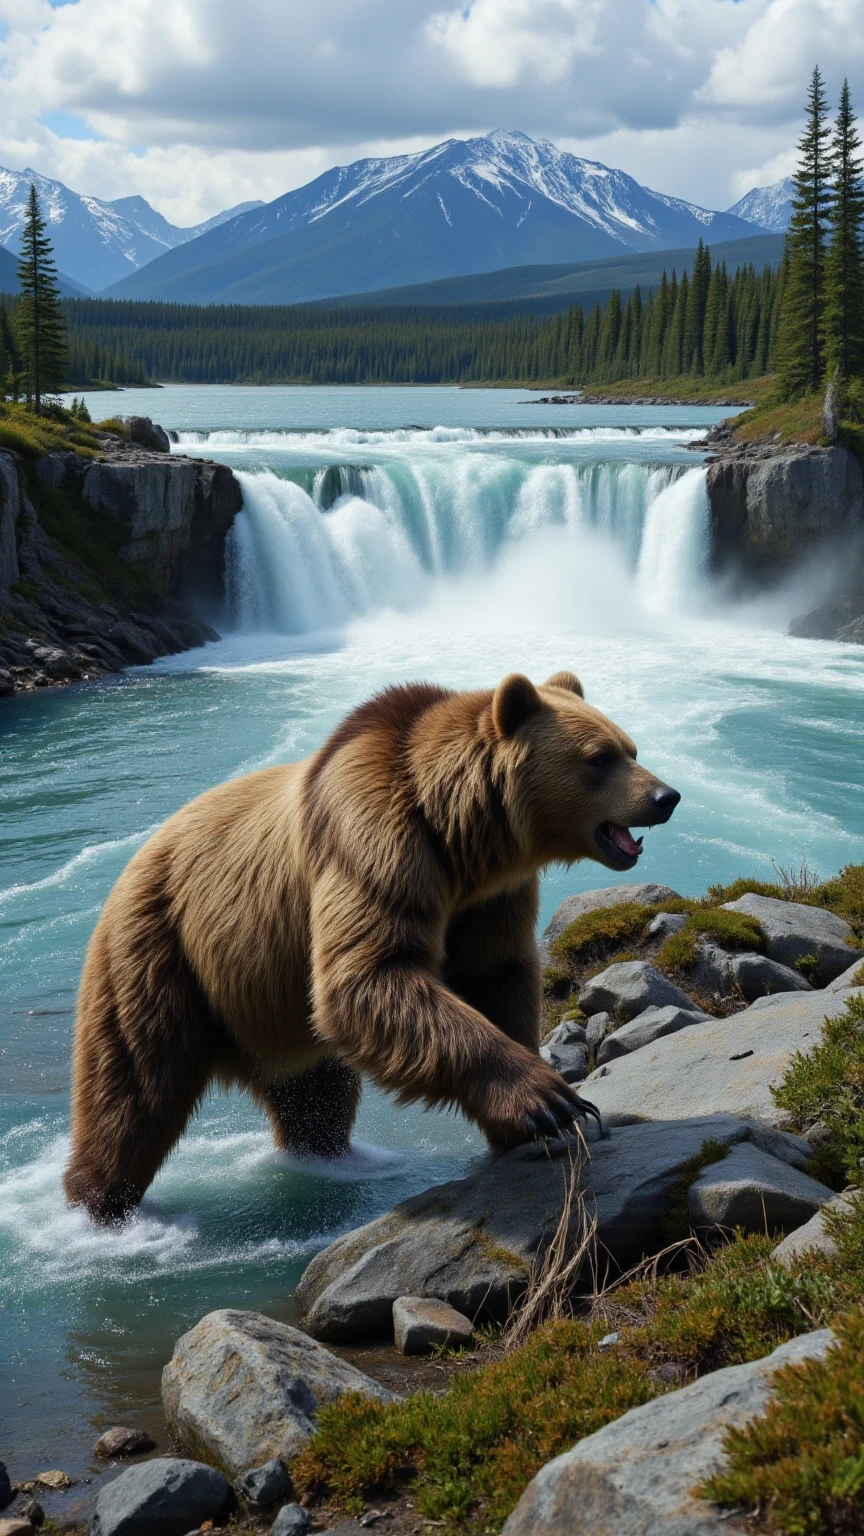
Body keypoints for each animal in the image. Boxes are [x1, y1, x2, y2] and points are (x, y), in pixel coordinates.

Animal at [64, 670, 680, 1222]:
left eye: (630, 747)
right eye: (600, 757)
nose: (665, 795)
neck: (456, 836)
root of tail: (136, 860)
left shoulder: (489, 899)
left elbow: (495, 976)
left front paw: (525, 1124)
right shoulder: (372, 844)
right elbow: (372, 973)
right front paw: (553, 1103)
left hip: (272, 1000)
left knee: (314, 1094)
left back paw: (326, 1155)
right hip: (160, 949)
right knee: (134, 1089)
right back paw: (101, 1203)